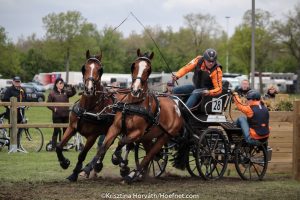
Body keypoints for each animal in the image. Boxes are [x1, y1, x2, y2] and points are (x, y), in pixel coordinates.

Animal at [55, 49, 116, 181]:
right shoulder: (72, 127)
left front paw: (75, 173)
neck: (87, 109)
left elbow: (82, 154)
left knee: (105, 146)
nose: (89, 88)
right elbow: (59, 146)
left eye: (100, 69)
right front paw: (64, 163)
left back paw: (94, 166)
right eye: (84, 68)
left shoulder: (92, 136)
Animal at [90, 48, 184, 183]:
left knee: (150, 155)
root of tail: (176, 106)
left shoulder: (137, 133)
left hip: (164, 137)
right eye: (133, 66)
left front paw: (118, 160)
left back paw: (131, 175)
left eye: (149, 69)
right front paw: (95, 165)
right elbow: (105, 145)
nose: (136, 90)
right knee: (151, 154)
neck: (133, 104)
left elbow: (122, 142)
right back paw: (141, 174)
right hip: (149, 137)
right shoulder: (115, 127)